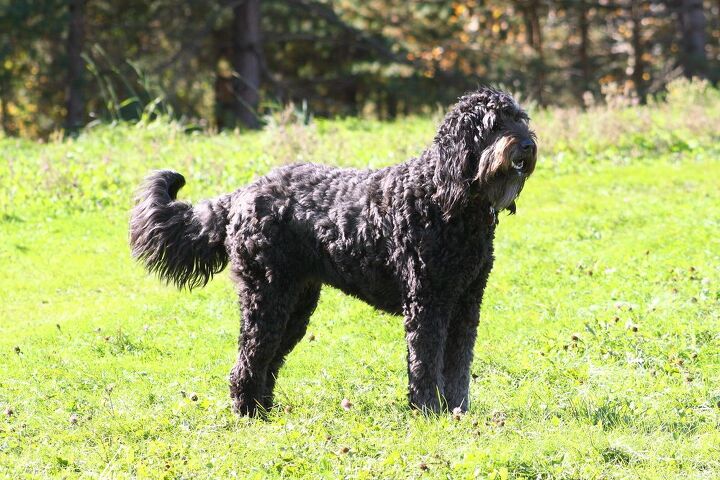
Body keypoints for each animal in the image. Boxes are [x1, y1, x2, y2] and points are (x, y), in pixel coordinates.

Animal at [129, 87, 536, 416]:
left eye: (521, 119)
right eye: (494, 125)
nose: (528, 145)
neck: (444, 197)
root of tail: (240, 195)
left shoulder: (466, 302)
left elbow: (458, 365)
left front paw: (457, 410)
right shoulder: (428, 303)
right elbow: (425, 363)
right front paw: (429, 411)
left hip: (294, 306)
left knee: (267, 360)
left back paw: (263, 409)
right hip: (266, 300)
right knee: (249, 359)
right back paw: (246, 412)